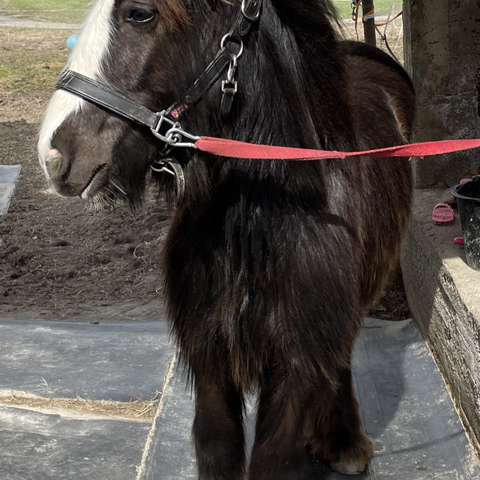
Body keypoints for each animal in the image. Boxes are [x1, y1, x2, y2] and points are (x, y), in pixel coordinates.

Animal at [38, 1, 412, 478]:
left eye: (140, 14)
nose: (52, 155)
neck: (258, 219)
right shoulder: (209, 356)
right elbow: (216, 444)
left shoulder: (294, 359)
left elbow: (274, 457)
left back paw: (343, 440)